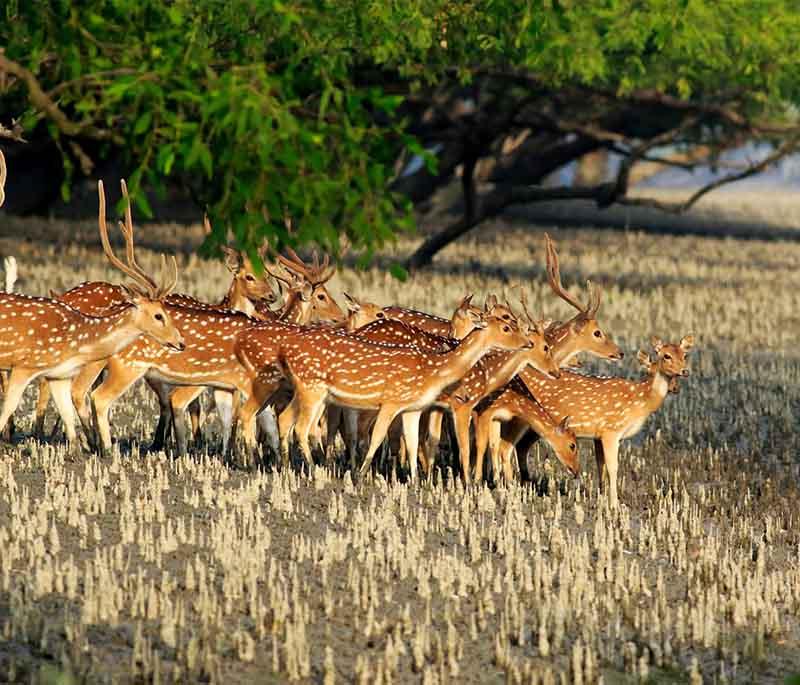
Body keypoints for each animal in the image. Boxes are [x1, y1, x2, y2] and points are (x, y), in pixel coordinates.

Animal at [0, 179, 184, 452]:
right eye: (159, 315)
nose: (181, 342)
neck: (78, 338)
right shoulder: (25, 364)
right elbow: (8, 408)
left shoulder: (58, 374)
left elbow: (68, 416)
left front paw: (82, 449)